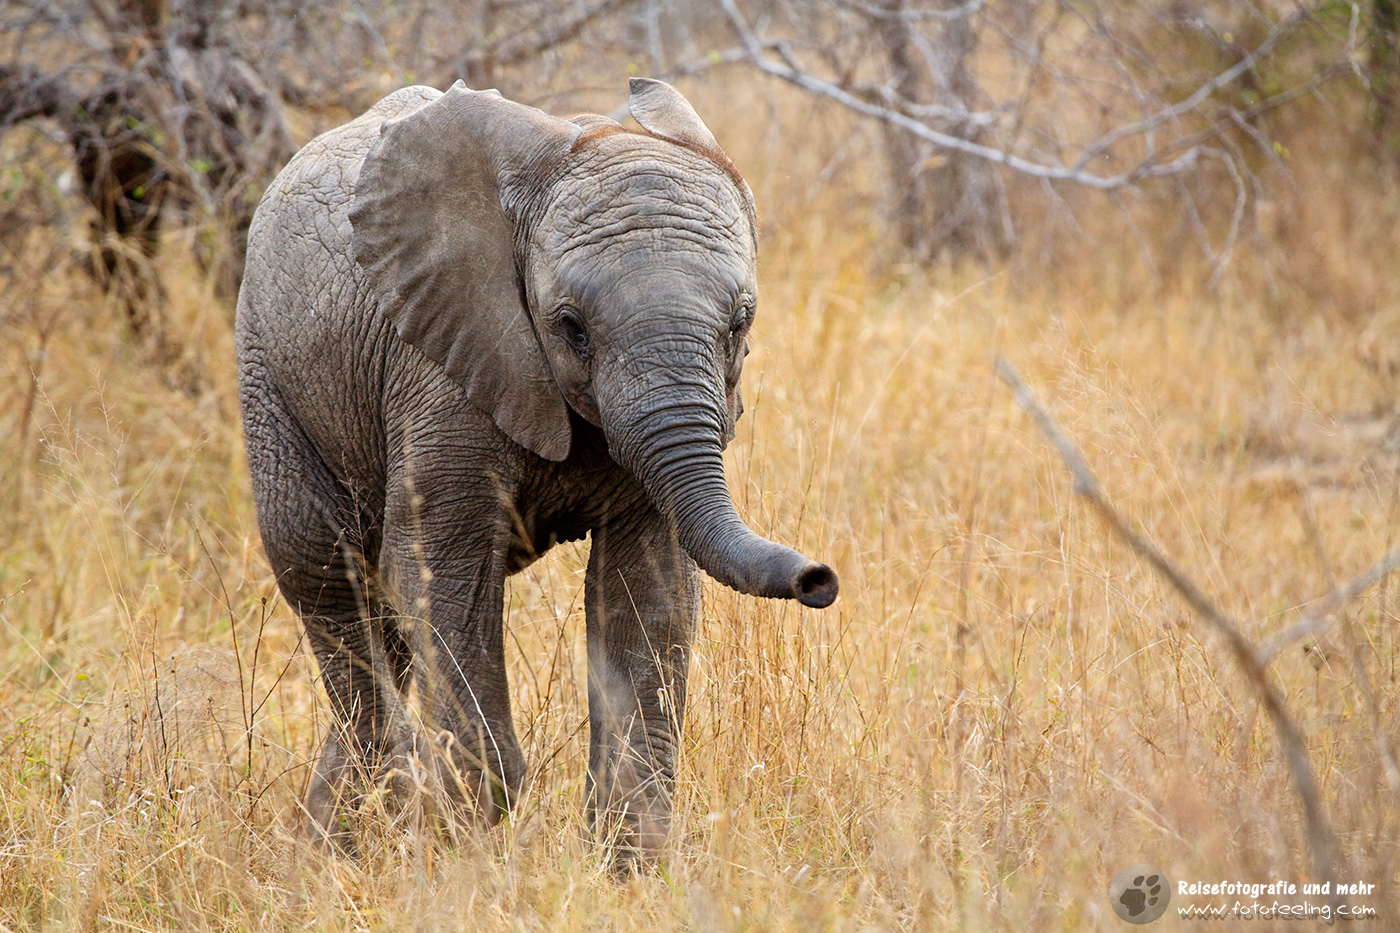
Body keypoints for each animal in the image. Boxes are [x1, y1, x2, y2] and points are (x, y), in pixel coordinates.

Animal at [235, 77, 838, 865]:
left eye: (740, 323)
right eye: (570, 327)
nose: (818, 580)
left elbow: (648, 592)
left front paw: (628, 868)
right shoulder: (438, 365)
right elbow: (439, 574)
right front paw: (467, 849)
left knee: (381, 629)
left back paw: (326, 853)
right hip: (269, 371)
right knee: (327, 577)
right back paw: (378, 812)